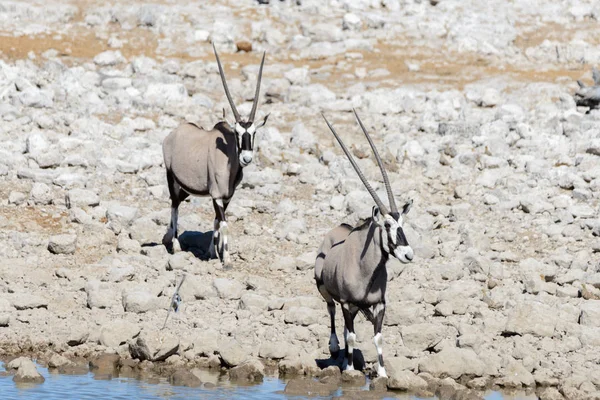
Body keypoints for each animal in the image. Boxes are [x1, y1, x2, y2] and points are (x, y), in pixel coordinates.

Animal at [162, 45, 270, 268]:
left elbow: (217, 222)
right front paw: (226, 260)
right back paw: (175, 245)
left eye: (254, 132)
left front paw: (212, 252)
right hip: (171, 179)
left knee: (177, 204)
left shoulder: (226, 197)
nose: (246, 159)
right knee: (174, 205)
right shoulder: (216, 196)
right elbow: (225, 224)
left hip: (186, 189)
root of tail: (173, 134)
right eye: (237, 133)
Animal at [314, 110, 412, 378]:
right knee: (332, 312)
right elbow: (352, 337)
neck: (365, 269)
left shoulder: (378, 304)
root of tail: (337, 228)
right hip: (326, 290)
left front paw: (382, 373)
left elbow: (377, 338)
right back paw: (335, 348)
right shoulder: (347, 303)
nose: (408, 254)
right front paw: (348, 369)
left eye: (403, 223)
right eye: (387, 225)